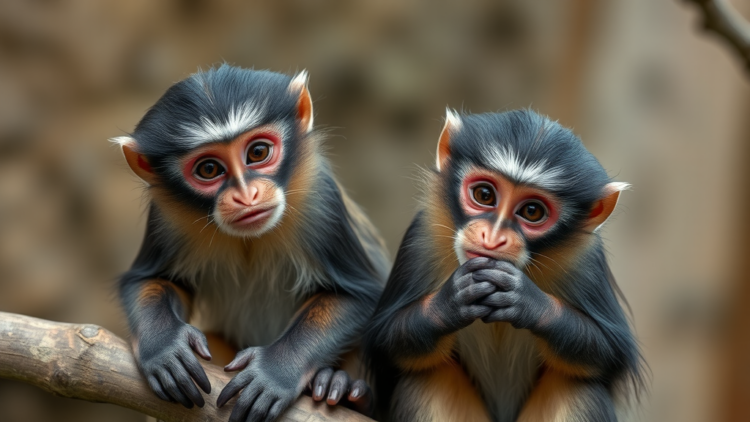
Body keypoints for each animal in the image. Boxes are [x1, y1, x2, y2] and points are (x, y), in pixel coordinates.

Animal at [112, 65, 387, 422]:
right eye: (209, 169)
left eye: (258, 152)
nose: (246, 195)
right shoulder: (166, 214)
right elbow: (152, 280)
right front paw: (165, 346)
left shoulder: (320, 197)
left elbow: (359, 295)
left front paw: (273, 371)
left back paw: (345, 390)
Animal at [363, 109, 644, 422]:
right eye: (484, 195)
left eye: (532, 211)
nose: (494, 238)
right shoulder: (422, 235)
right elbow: (388, 342)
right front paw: (452, 302)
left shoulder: (586, 261)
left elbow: (607, 353)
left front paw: (526, 301)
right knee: (423, 379)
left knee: (579, 387)